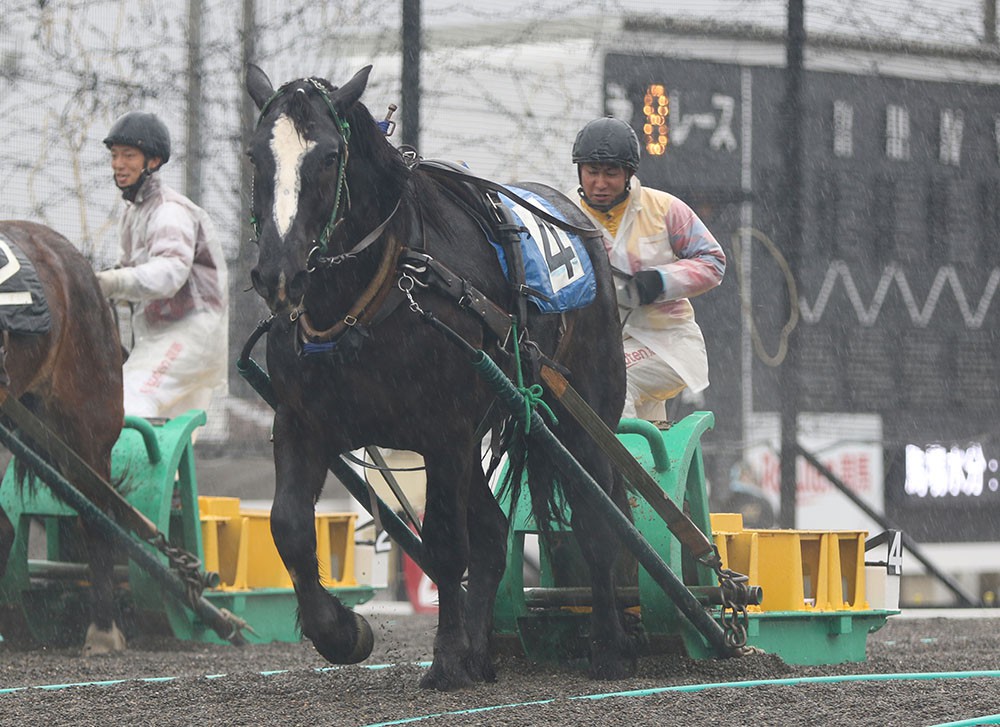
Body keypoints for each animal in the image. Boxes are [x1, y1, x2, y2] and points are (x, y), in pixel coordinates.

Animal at [244, 65, 632, 692]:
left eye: (328, 156)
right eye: (256, 154)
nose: (279, 274)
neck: (370, 296)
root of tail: (578, 217)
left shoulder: (443, 430)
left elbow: (447, 546)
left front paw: (446, 659)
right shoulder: (302, 422)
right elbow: (289, 529)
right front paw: (341, 631)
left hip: (582, 414)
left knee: (597, 521)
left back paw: (610, 645)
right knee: (494, 534)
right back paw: (481, 650)